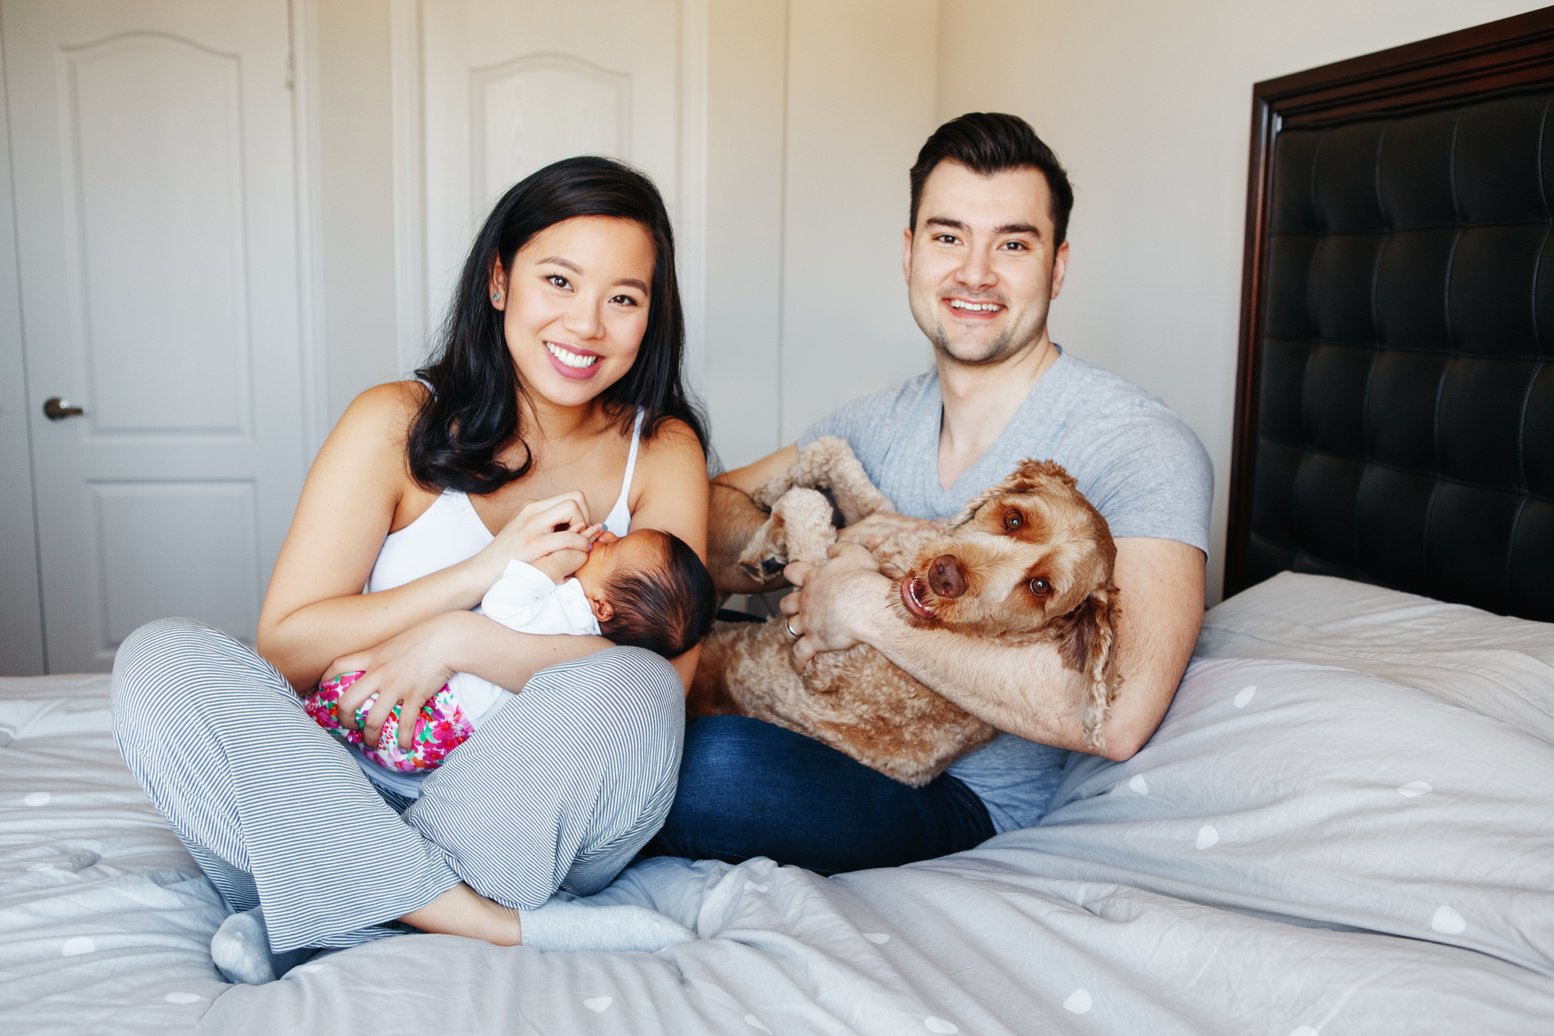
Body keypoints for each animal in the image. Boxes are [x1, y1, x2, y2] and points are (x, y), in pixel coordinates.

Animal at [689, 438, 1118, 785]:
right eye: (1013, 518)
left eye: (1040, 587)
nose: (947, 575)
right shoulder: (878, 514)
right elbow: (832, 450)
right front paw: (767, 513)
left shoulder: (825, 657)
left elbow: (808, 502)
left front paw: (768, 536)